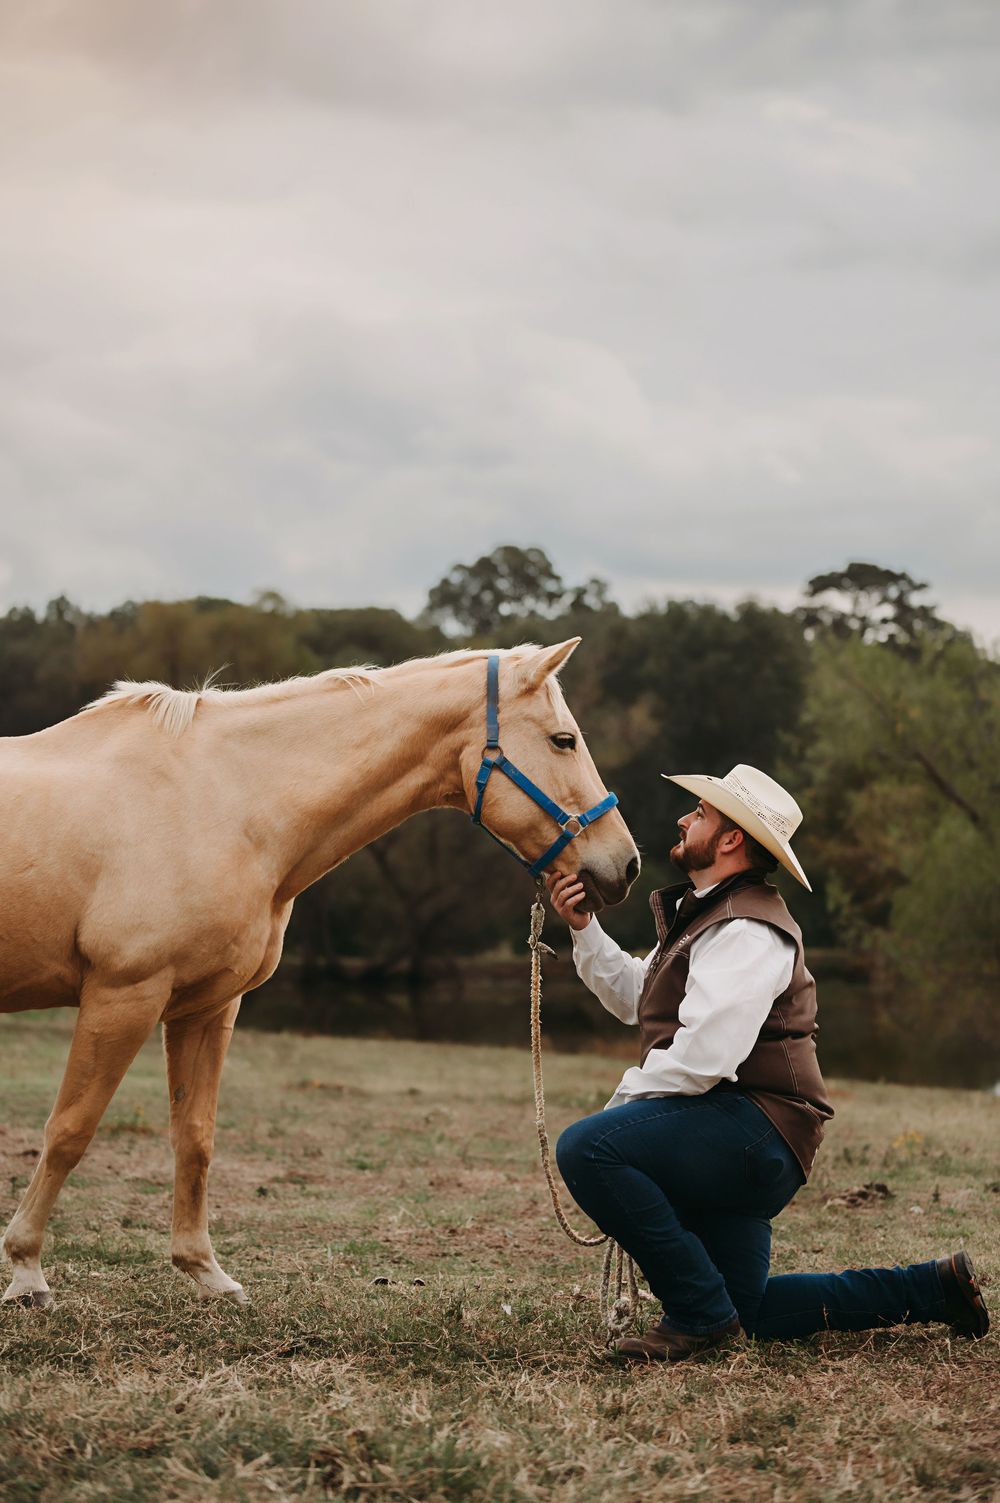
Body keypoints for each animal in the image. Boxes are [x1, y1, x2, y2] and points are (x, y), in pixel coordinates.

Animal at [1, 638, 639, 1308]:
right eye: (563, 740)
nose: (626, 866)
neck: (223, 803)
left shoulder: (206, 1006)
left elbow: (195, 1137)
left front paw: (204, 1270)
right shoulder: (124, 994)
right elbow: (70, 1130)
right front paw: (26, 1272)